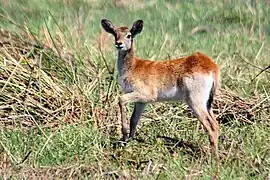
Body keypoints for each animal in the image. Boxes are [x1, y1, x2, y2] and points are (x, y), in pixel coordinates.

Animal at [100, 19, 219, 151]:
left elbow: (121, 99)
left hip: (195, 102)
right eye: (115, 34)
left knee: (212, 127)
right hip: (207, 104)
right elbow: (134, 119)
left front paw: (124, 135)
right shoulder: (141, 102)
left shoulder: (146, 95)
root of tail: (211, 66)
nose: (119, 44)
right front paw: (129, 140)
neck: (133, 67)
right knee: (216, 125)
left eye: (129, 35)